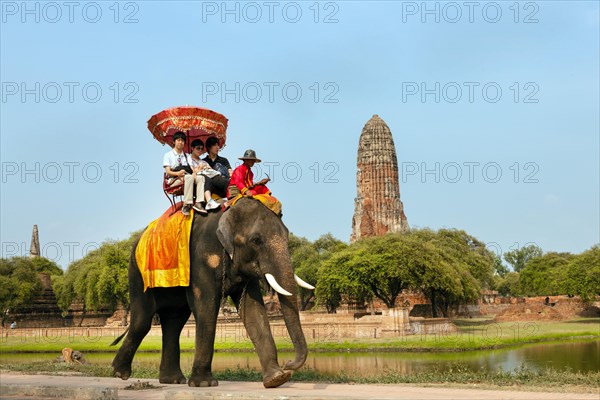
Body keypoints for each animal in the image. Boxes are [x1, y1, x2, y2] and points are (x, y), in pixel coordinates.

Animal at [110, 198, 314, 390]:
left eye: (287, 235)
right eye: (256, 240)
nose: (289, 364)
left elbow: (253, 310)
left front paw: (276, 379)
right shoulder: (201, 260)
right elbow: (206, 306)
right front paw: (204, 384)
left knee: (174, 322)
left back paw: (172, 380)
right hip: (137, 273)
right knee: (143, 320)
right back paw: (120, 373)